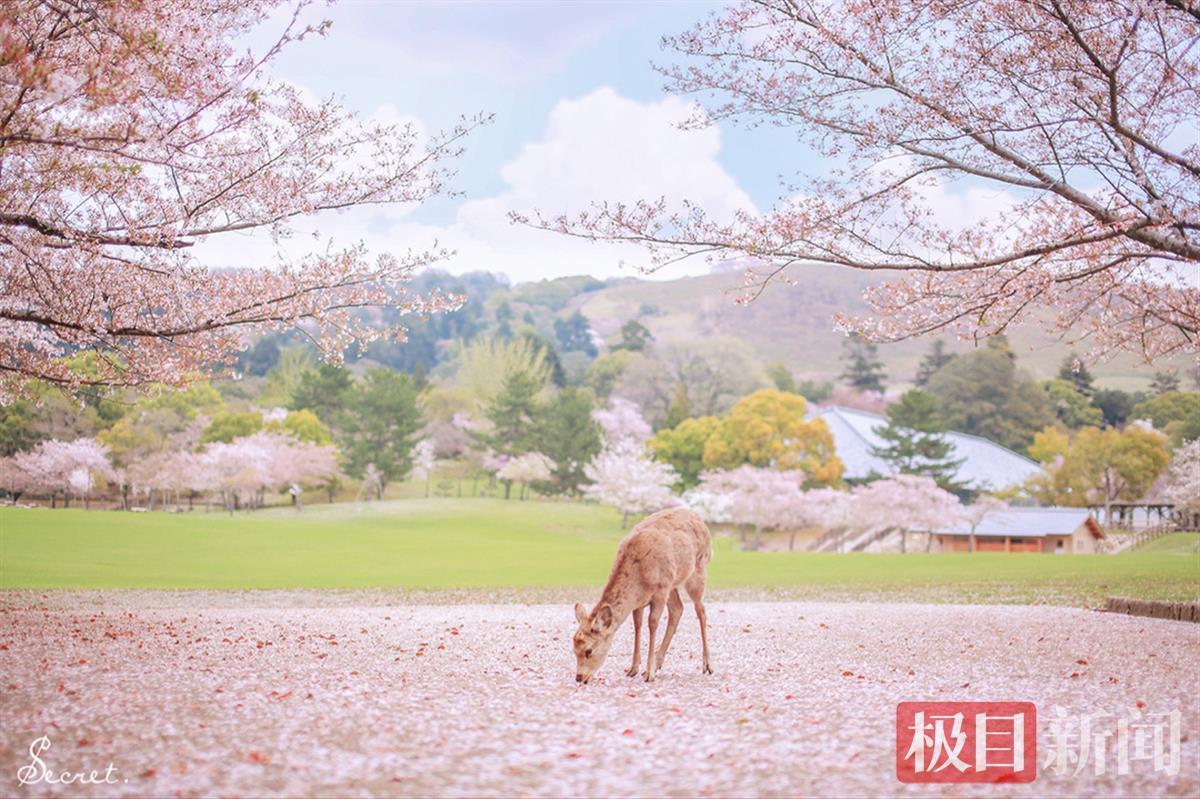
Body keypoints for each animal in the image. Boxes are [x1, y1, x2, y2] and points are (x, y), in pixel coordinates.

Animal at [572, 507, 713, 684]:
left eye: (589, 650)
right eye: (574, 649)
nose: (579, 677)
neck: (639, 580)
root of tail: (700, 519)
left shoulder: (660, 591)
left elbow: (652, 624)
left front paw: (649, 673)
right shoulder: (640, 600)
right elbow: (637, 625)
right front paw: (633, 669)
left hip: (698, 570)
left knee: (701, 610)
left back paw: (707, 665)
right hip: (672, 584)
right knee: (678, 608)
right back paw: (659, 662)